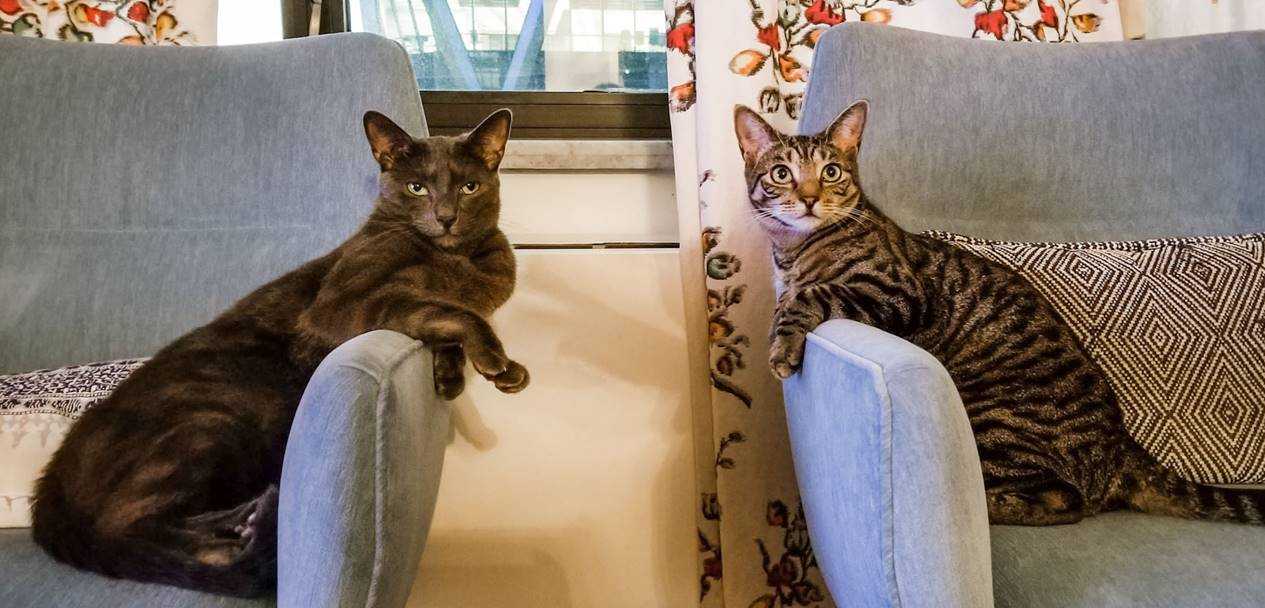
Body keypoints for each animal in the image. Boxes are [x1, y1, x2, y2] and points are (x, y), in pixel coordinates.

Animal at [33, 108, 528, 591]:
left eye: (468, 187)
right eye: (416, 187)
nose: (446, 216)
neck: (459, 259)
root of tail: (51, 484)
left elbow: (439, 319)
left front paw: (451, 374)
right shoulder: (343, 305)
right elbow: (447, 310)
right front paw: (499, 363)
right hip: (213, 421)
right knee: (127, 525)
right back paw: (247, 527)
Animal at [733, 100, 1265, 525]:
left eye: (831, 172)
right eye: (782, 173)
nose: (808, 198)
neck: (794, 252)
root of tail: (1121, 447)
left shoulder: (899, 292)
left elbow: (811, 296)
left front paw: (782, 345)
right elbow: (797, 294)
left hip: (992, 419)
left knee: (1064, 501)